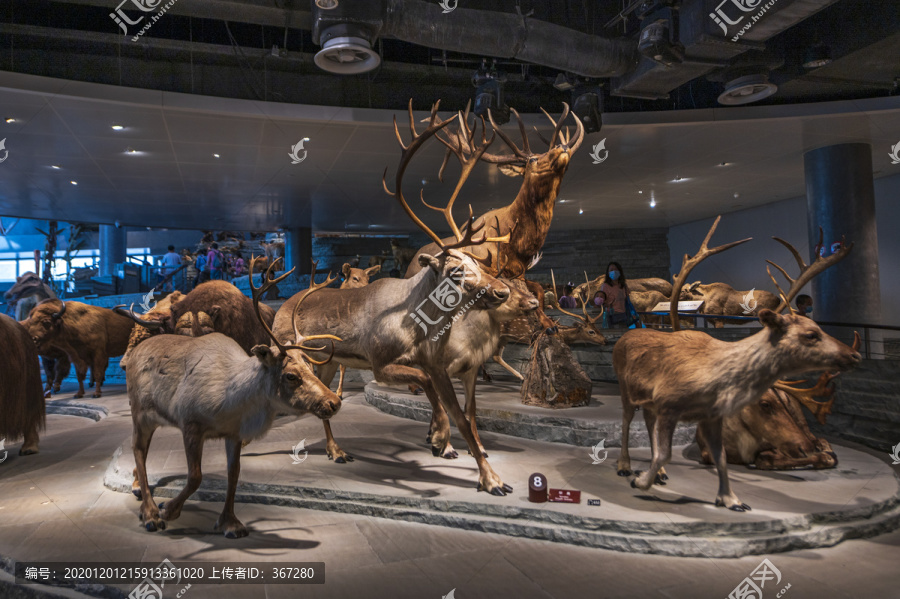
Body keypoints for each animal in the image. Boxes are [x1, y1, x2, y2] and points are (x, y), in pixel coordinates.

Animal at [130, 262, 344, 540]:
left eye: (309, 366)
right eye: (290, 375)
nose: (334, 402)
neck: (235, 397)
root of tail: (135, 352)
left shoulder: (233, 433)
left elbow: (234, 475)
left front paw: (230, 523)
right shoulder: (191, 425)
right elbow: (195, 476)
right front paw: (168, 510)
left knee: (141, 451)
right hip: (140, 413)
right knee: (138, 450)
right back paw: (150, 513)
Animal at [270, 102, 516, 496]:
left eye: (479, 262)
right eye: (455, 270)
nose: (501, 291)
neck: (418, 324)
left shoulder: (435, 363)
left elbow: (460, 413)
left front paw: (475, 466)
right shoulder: (381, 363)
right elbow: (437, 396)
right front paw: (444, 442)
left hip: (326, 360)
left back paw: (336, 449)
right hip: (297, 352)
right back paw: (333, 450)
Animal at [616, 218, 860, 512]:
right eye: (811, 335)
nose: (854, 355)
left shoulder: (709, 416)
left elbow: (719, 458)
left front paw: (731, 499)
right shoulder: (671, 407)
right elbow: (667, 453)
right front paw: (641, 481)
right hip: (627, 392)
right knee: (627, 423)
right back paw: (626, 466)